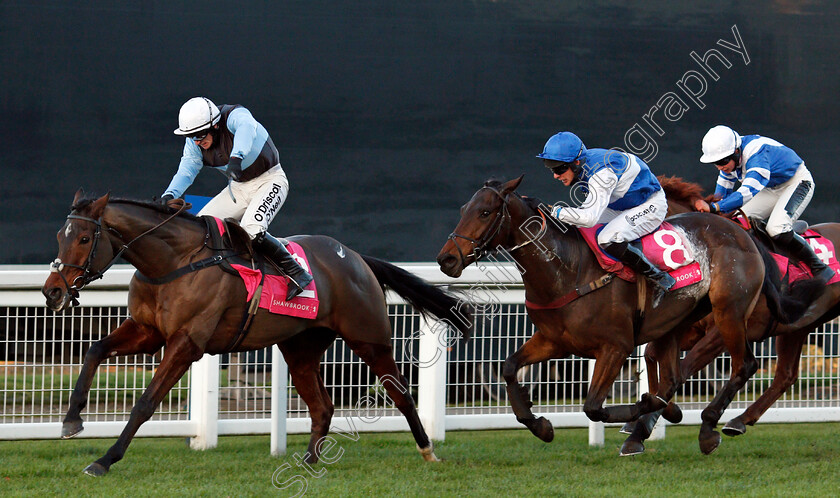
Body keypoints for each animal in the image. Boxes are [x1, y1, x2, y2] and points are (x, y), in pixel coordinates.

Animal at [42, 190, 472, 474]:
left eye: (84, 238)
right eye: (60, 236)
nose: (53, 291)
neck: (175, 261)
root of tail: (356, 258)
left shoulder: (187, 343)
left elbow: (146, 402)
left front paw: (104, 459)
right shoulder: (148, 331)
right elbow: (95, 350)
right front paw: (71, 420)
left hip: (370, 338)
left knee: (401, 394)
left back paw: (428, 451)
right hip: (300, 348)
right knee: (322, 406)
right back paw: (310, 461)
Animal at [436, 176, 816, 456]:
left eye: (486, 212)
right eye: (463, 208)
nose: (447, 259)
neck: (568, 269)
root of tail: (743, 234)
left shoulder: (615, 347)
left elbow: (593, 407)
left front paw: (643, 407)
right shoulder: (554, 340)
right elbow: (509, 366)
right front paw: (540, 425)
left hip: (729, 313)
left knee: (743, 365)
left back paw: (709, 428)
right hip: (678, 320)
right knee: (675, 372)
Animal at [616, 176, 840, 456]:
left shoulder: (723, 329)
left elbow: (684, 367)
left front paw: (648, 424)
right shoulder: (687, 329)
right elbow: (651, 355)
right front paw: (643, 419)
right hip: (797, 326)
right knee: (786, 375)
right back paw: (739, 421)